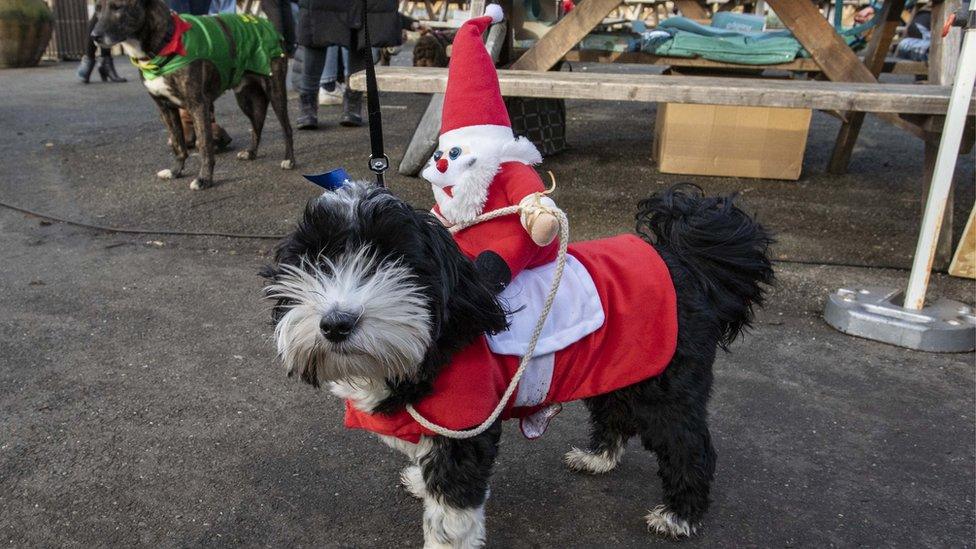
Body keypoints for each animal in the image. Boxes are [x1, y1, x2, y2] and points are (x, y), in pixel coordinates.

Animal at [93, 0, 296, 189]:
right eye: (97, 8)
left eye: (118, 7)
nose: (94, 36)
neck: (166, 42)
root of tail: (266, 24)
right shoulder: (166, 108)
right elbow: (178, 144)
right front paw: (175, 171)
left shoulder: (198, 105)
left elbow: (205, 145)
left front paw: (204, 179)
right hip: (246, 98)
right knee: (257, 124)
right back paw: (251, 152)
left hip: (275, 91)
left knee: (286, 127)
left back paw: (289, 160)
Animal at [264, 182, 772, 544]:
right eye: (317, 259)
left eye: (394, 260)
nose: (337, 323)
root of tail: (685, 263)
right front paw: (420, 479)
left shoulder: (466, 425)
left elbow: (451, 514)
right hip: (622, 365)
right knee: (614, 411)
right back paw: (598, 458)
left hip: (668, 390)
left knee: (689, 446)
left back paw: (680, 515)